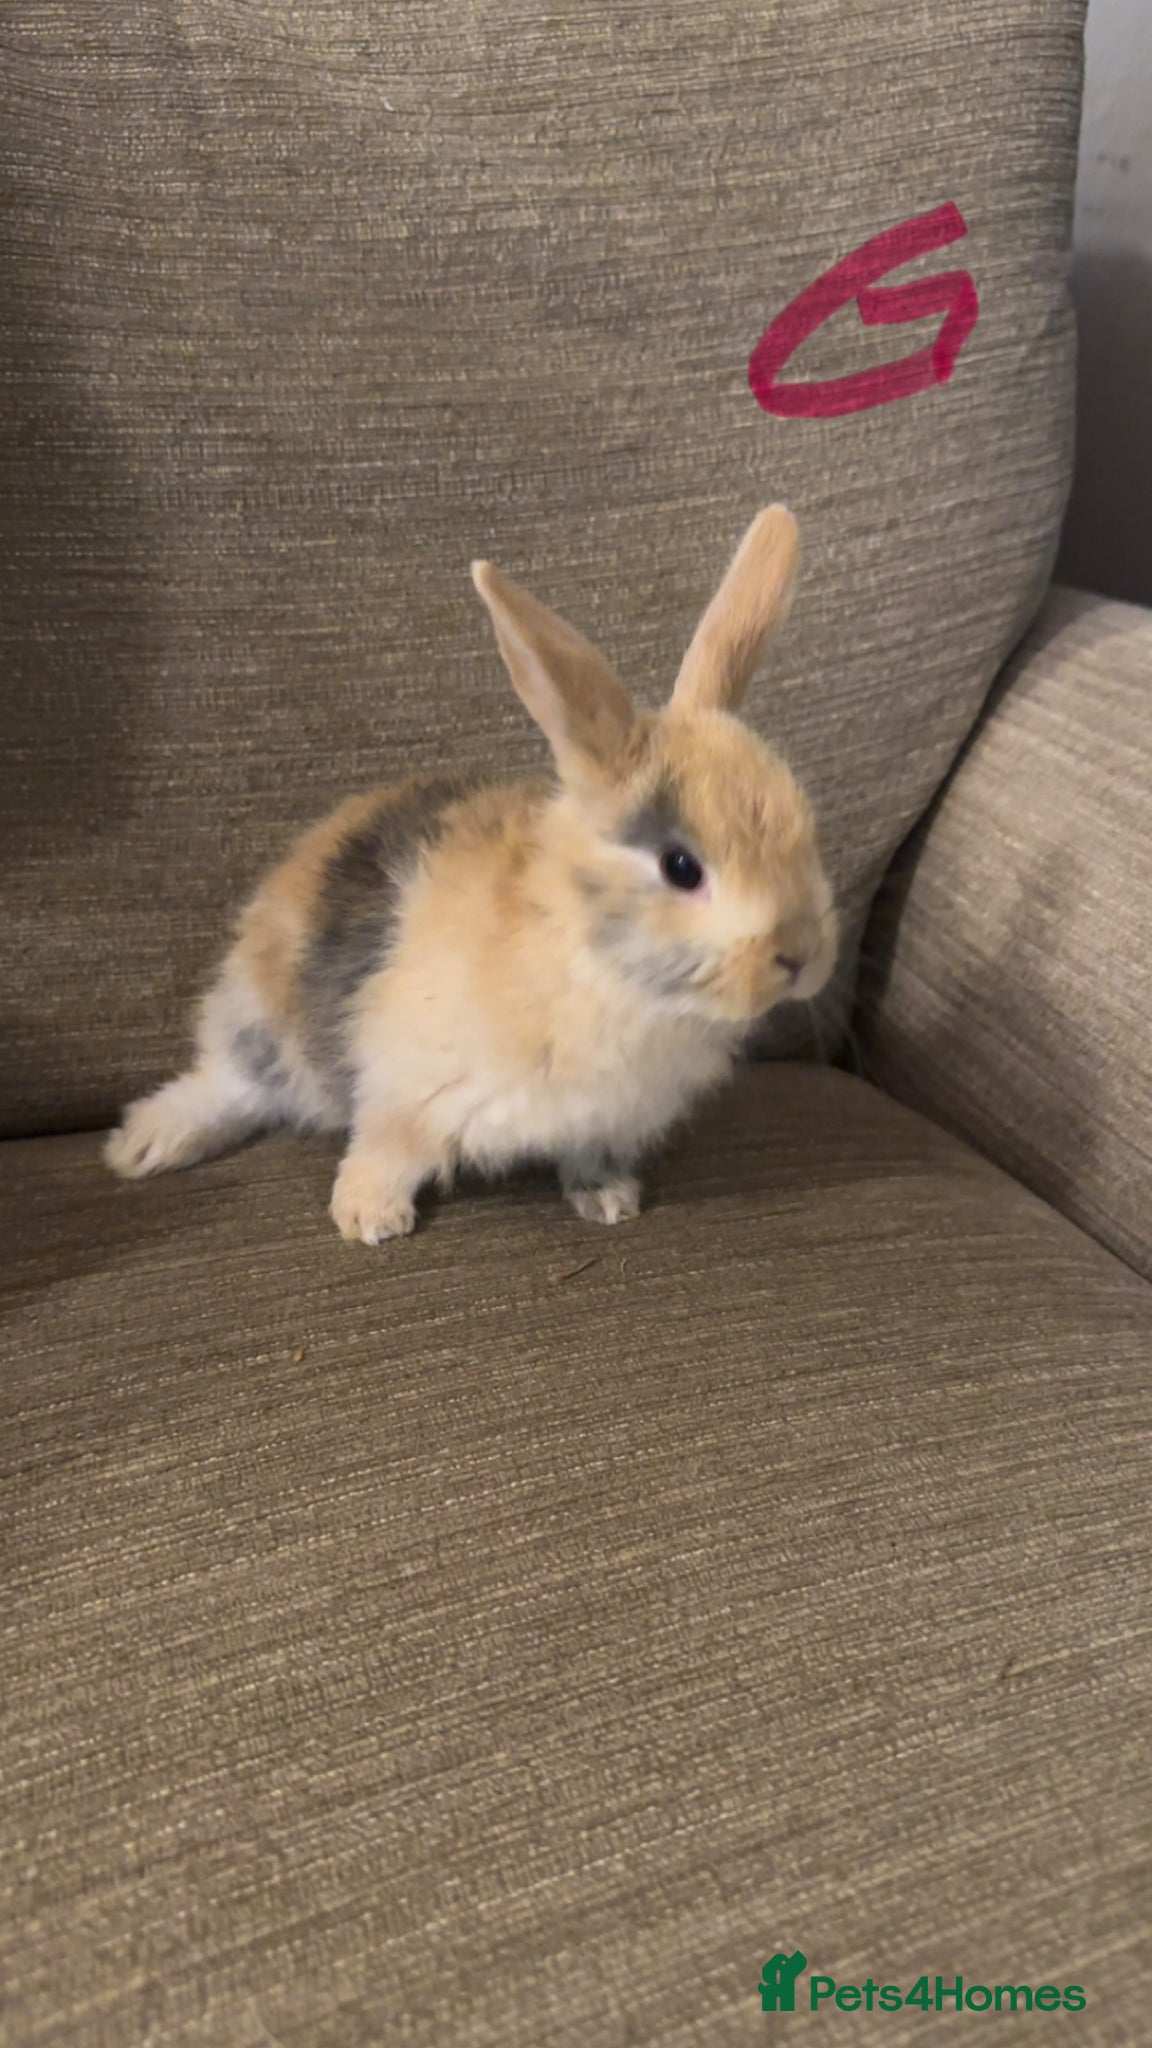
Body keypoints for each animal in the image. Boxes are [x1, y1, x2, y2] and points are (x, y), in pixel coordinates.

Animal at [105, 505, 838, 1241]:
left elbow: (590, 1156)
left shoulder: (603, 1122)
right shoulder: (403, 1089)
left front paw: (609, 1203)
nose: (801, 957)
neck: (594, 963)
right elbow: (385, 1149)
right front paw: (368, 1219)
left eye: (805, 829)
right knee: (230, 1084)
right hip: (260, 1022)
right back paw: (141, 1147)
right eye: (681, 867)